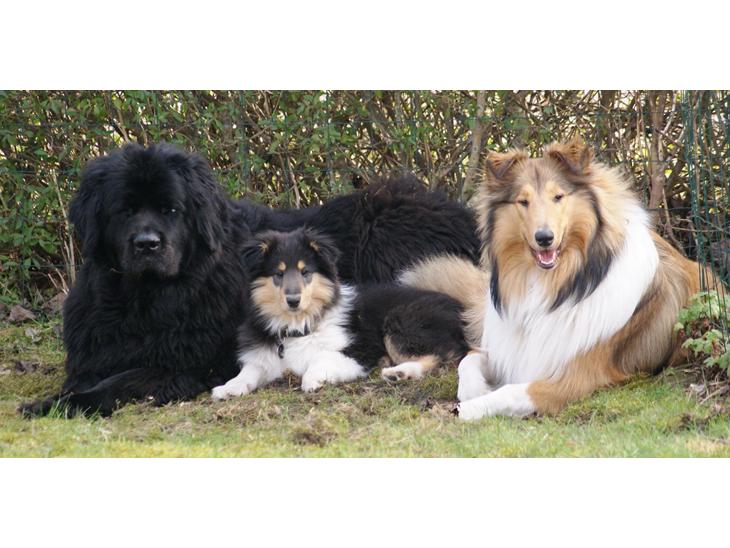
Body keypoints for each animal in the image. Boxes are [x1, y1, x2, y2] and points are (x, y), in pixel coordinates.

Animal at [210, 228, 469, 400]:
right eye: (278, 274)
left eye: (305, 272)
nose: (293, 301)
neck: (298, 326)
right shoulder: (264, 358)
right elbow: (248, 372)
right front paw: (226, 388)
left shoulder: (359, 350)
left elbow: (321, 358)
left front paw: (312, 381)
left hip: (400, 320)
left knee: (442, 355)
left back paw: (398, 372)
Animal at [401, 139, 719, 420]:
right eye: (523, 201)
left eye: (558, 197)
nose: (544, 238)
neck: (555, 285)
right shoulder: (505, 349)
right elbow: (469, 360)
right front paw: (474, 391)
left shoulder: (574, 378)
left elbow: (511, 391)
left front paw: (465, 409)